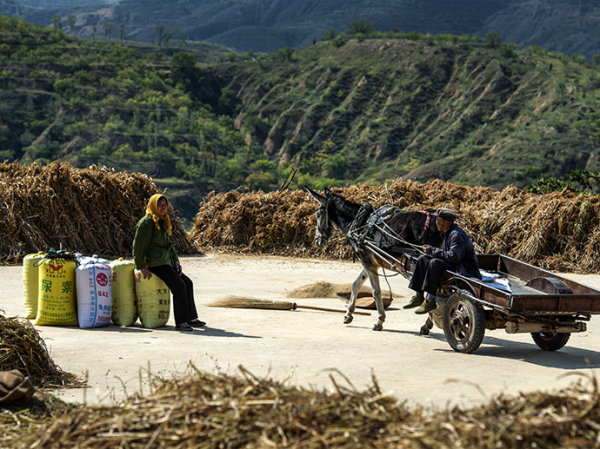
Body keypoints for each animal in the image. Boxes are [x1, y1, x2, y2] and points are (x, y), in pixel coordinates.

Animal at [308, 187, 442, 330]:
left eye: (318, 215)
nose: (317, 241)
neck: (359, 223)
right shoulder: (370, 262)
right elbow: (356, 284)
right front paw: (348, 314)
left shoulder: (368, 262)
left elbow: (376, 291)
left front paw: (379, 320)